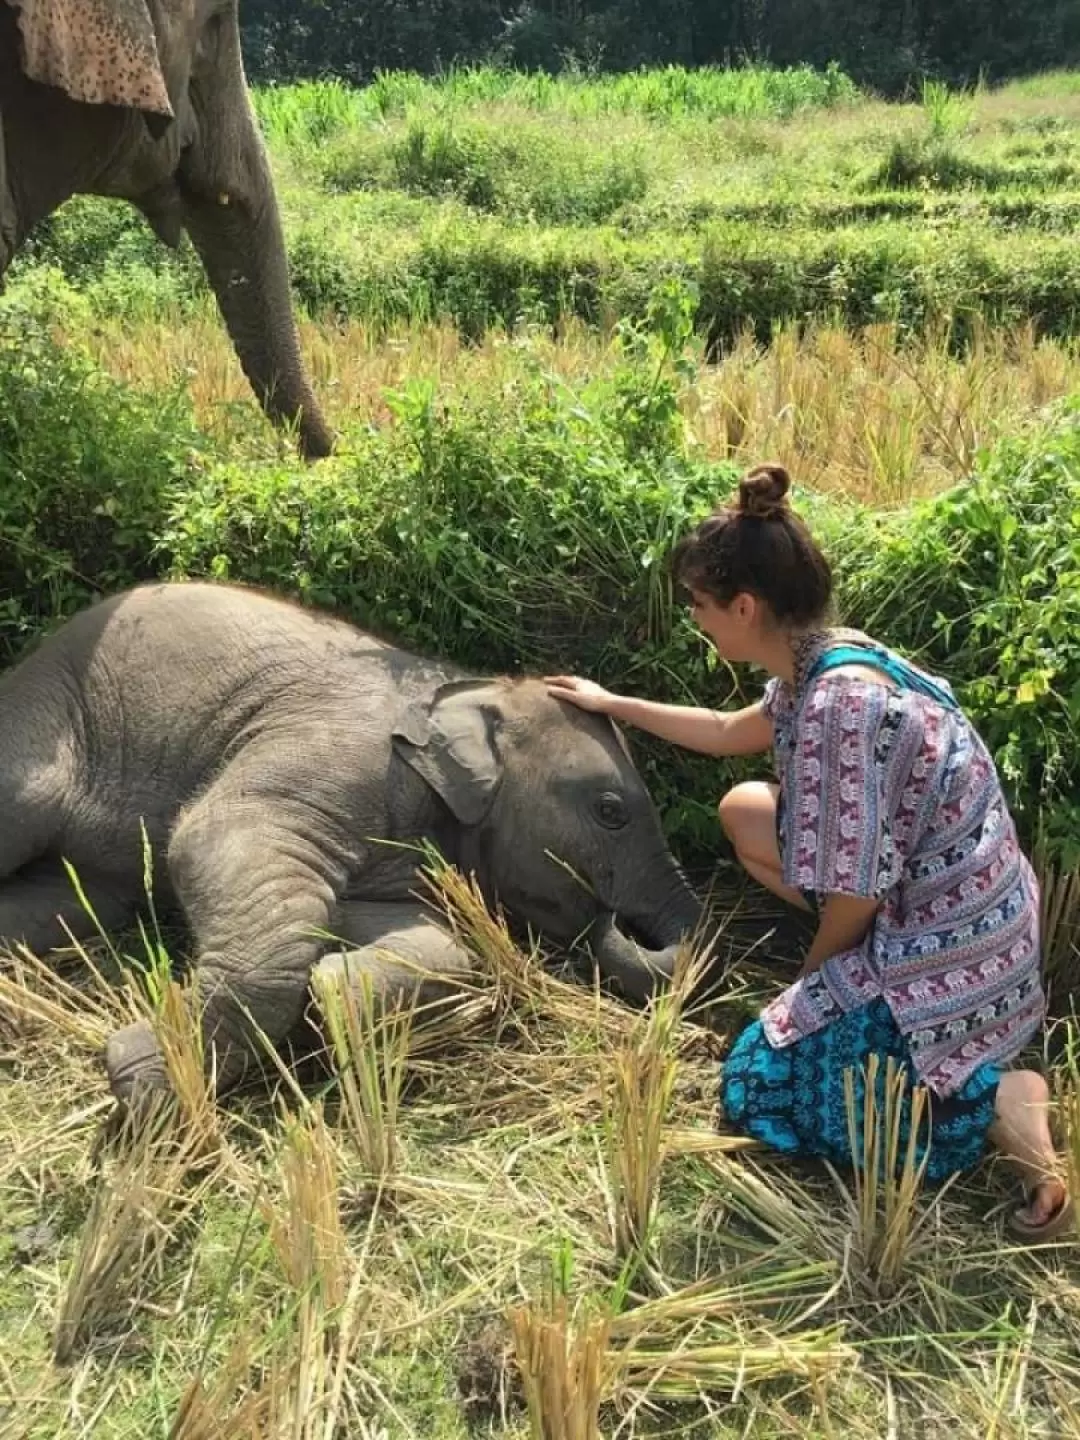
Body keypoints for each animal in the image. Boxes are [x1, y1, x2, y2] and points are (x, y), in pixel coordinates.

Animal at [0, 581, 711, 1100]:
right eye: (611, 812)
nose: (611, 913)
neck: (472, 688)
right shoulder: (343, 749)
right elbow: (219, 834)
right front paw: (133, 1076)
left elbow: (434, 941)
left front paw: (333, 993)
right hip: (46, 711)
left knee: (76, 900)